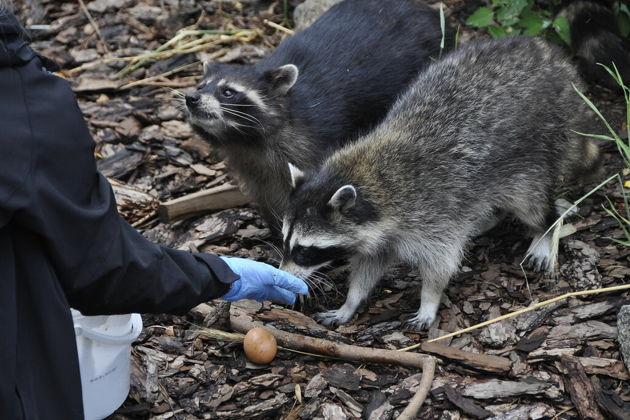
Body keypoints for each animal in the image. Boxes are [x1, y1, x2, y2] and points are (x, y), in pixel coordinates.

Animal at [185, 0, 452, 231]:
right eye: (202, 85)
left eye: (228, 91)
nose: (191, 98)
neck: (245, 142)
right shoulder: (253, 170)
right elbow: (269, 198)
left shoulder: (312, 146)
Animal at [282, 37, 604, 332]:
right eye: (285, 242)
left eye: (305, 250)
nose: (284, 273)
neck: (371, 181)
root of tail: (552, 60)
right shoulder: (380, 237)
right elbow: (368, 267)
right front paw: (351, 301)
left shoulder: (432, 216)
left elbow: (441, 264)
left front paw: (429, 301)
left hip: (534, 150)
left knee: (530, 203)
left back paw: (544, 230)